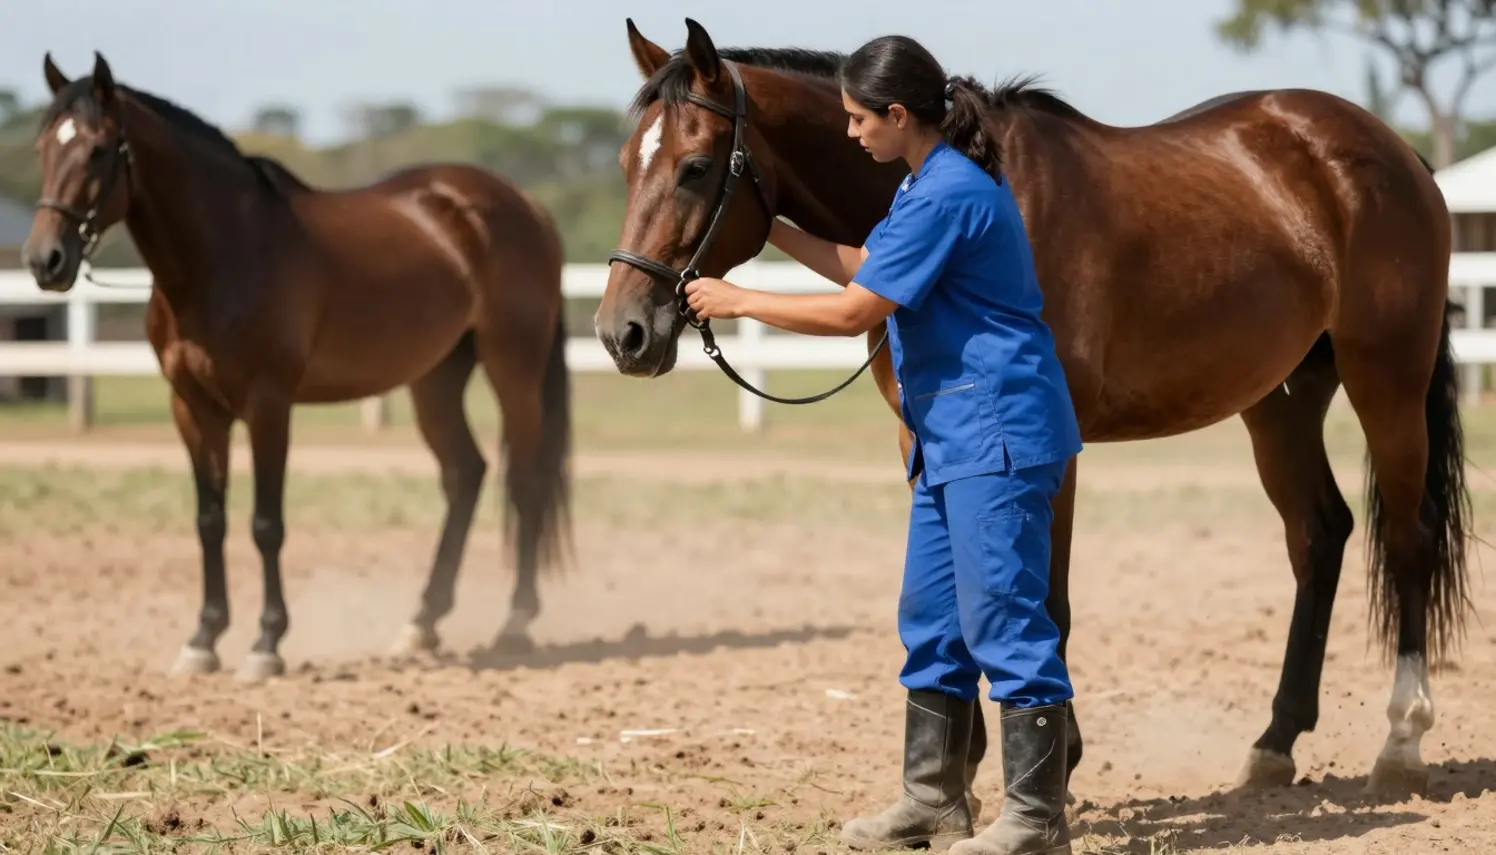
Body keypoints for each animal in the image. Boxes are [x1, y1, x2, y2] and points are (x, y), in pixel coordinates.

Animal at [21, 52, 573, 682]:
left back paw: (516, 622)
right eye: (42, 147)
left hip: (514, 368)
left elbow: (266, 524)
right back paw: (422, 624)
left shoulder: (268, 406)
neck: (223, 255)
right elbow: (210, 520)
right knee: (466, 474)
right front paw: (203, 640)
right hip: (435, 378)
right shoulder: (192, 407)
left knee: (525, 480)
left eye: (97, 149)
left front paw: (266, 644)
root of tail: (525, 205)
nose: (45, 260)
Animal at [593, 19, 1473, 802]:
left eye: (696, 166)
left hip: (1386, 378)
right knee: (1319, 536)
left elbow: (1041, 600)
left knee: (1409, 536)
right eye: (627, 165)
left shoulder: (1050, 446)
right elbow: (958, 590)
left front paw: (1048, 770)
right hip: (1280, 401)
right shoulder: (927, 440)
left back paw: (1402, 742)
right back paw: (1273, 745)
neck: (986, 190)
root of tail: (1392, 150)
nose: (622, 332)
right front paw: (957, 776)